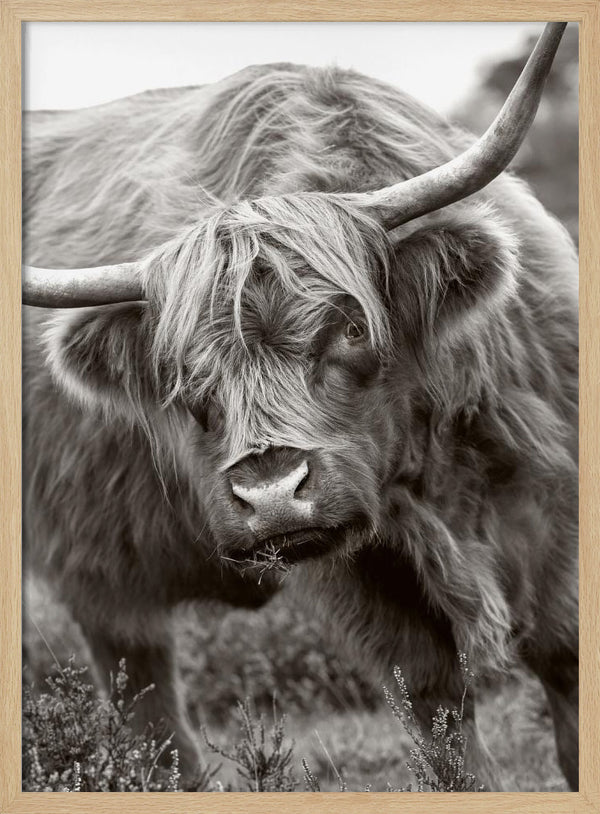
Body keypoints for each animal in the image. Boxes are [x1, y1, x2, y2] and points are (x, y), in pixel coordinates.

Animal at [22, 23, 578, 791]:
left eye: (350, 329)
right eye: (183, 372)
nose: (272, 494)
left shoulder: (556, 510)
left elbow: (566, 668)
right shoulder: (370, 582)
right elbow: (440, 720)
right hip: (97, 571)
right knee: (148, 707)